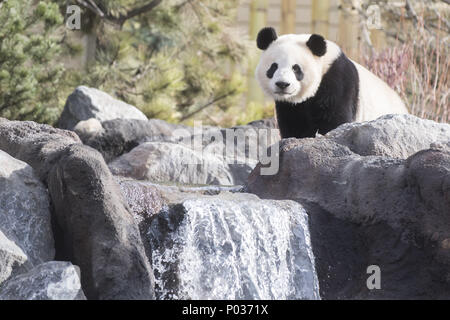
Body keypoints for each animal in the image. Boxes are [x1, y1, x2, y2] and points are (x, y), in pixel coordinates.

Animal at [256, 27, 408, 138]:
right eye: (273, 67)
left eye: (296, 68)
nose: (282, 84)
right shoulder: (289, 105)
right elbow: (294, 124)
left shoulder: (338, 80)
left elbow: (335, 120)